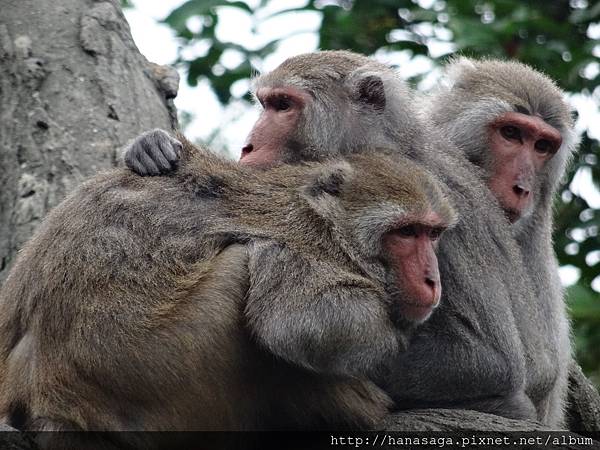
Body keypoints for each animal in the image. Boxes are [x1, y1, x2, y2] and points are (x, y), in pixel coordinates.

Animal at [0, 136, 454, 446]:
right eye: (406, 233)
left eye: (431, 233)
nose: (432, 279)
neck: (327, 222)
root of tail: (41, 400)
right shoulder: (304, 245)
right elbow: (304, 323)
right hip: (158, 371)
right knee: (242, 264)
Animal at [123, 50, 540, 422]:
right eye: (266, 104)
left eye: (284, 105)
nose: (248, 146)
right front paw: (151, 146)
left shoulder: (438, 194)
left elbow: (491, 362)